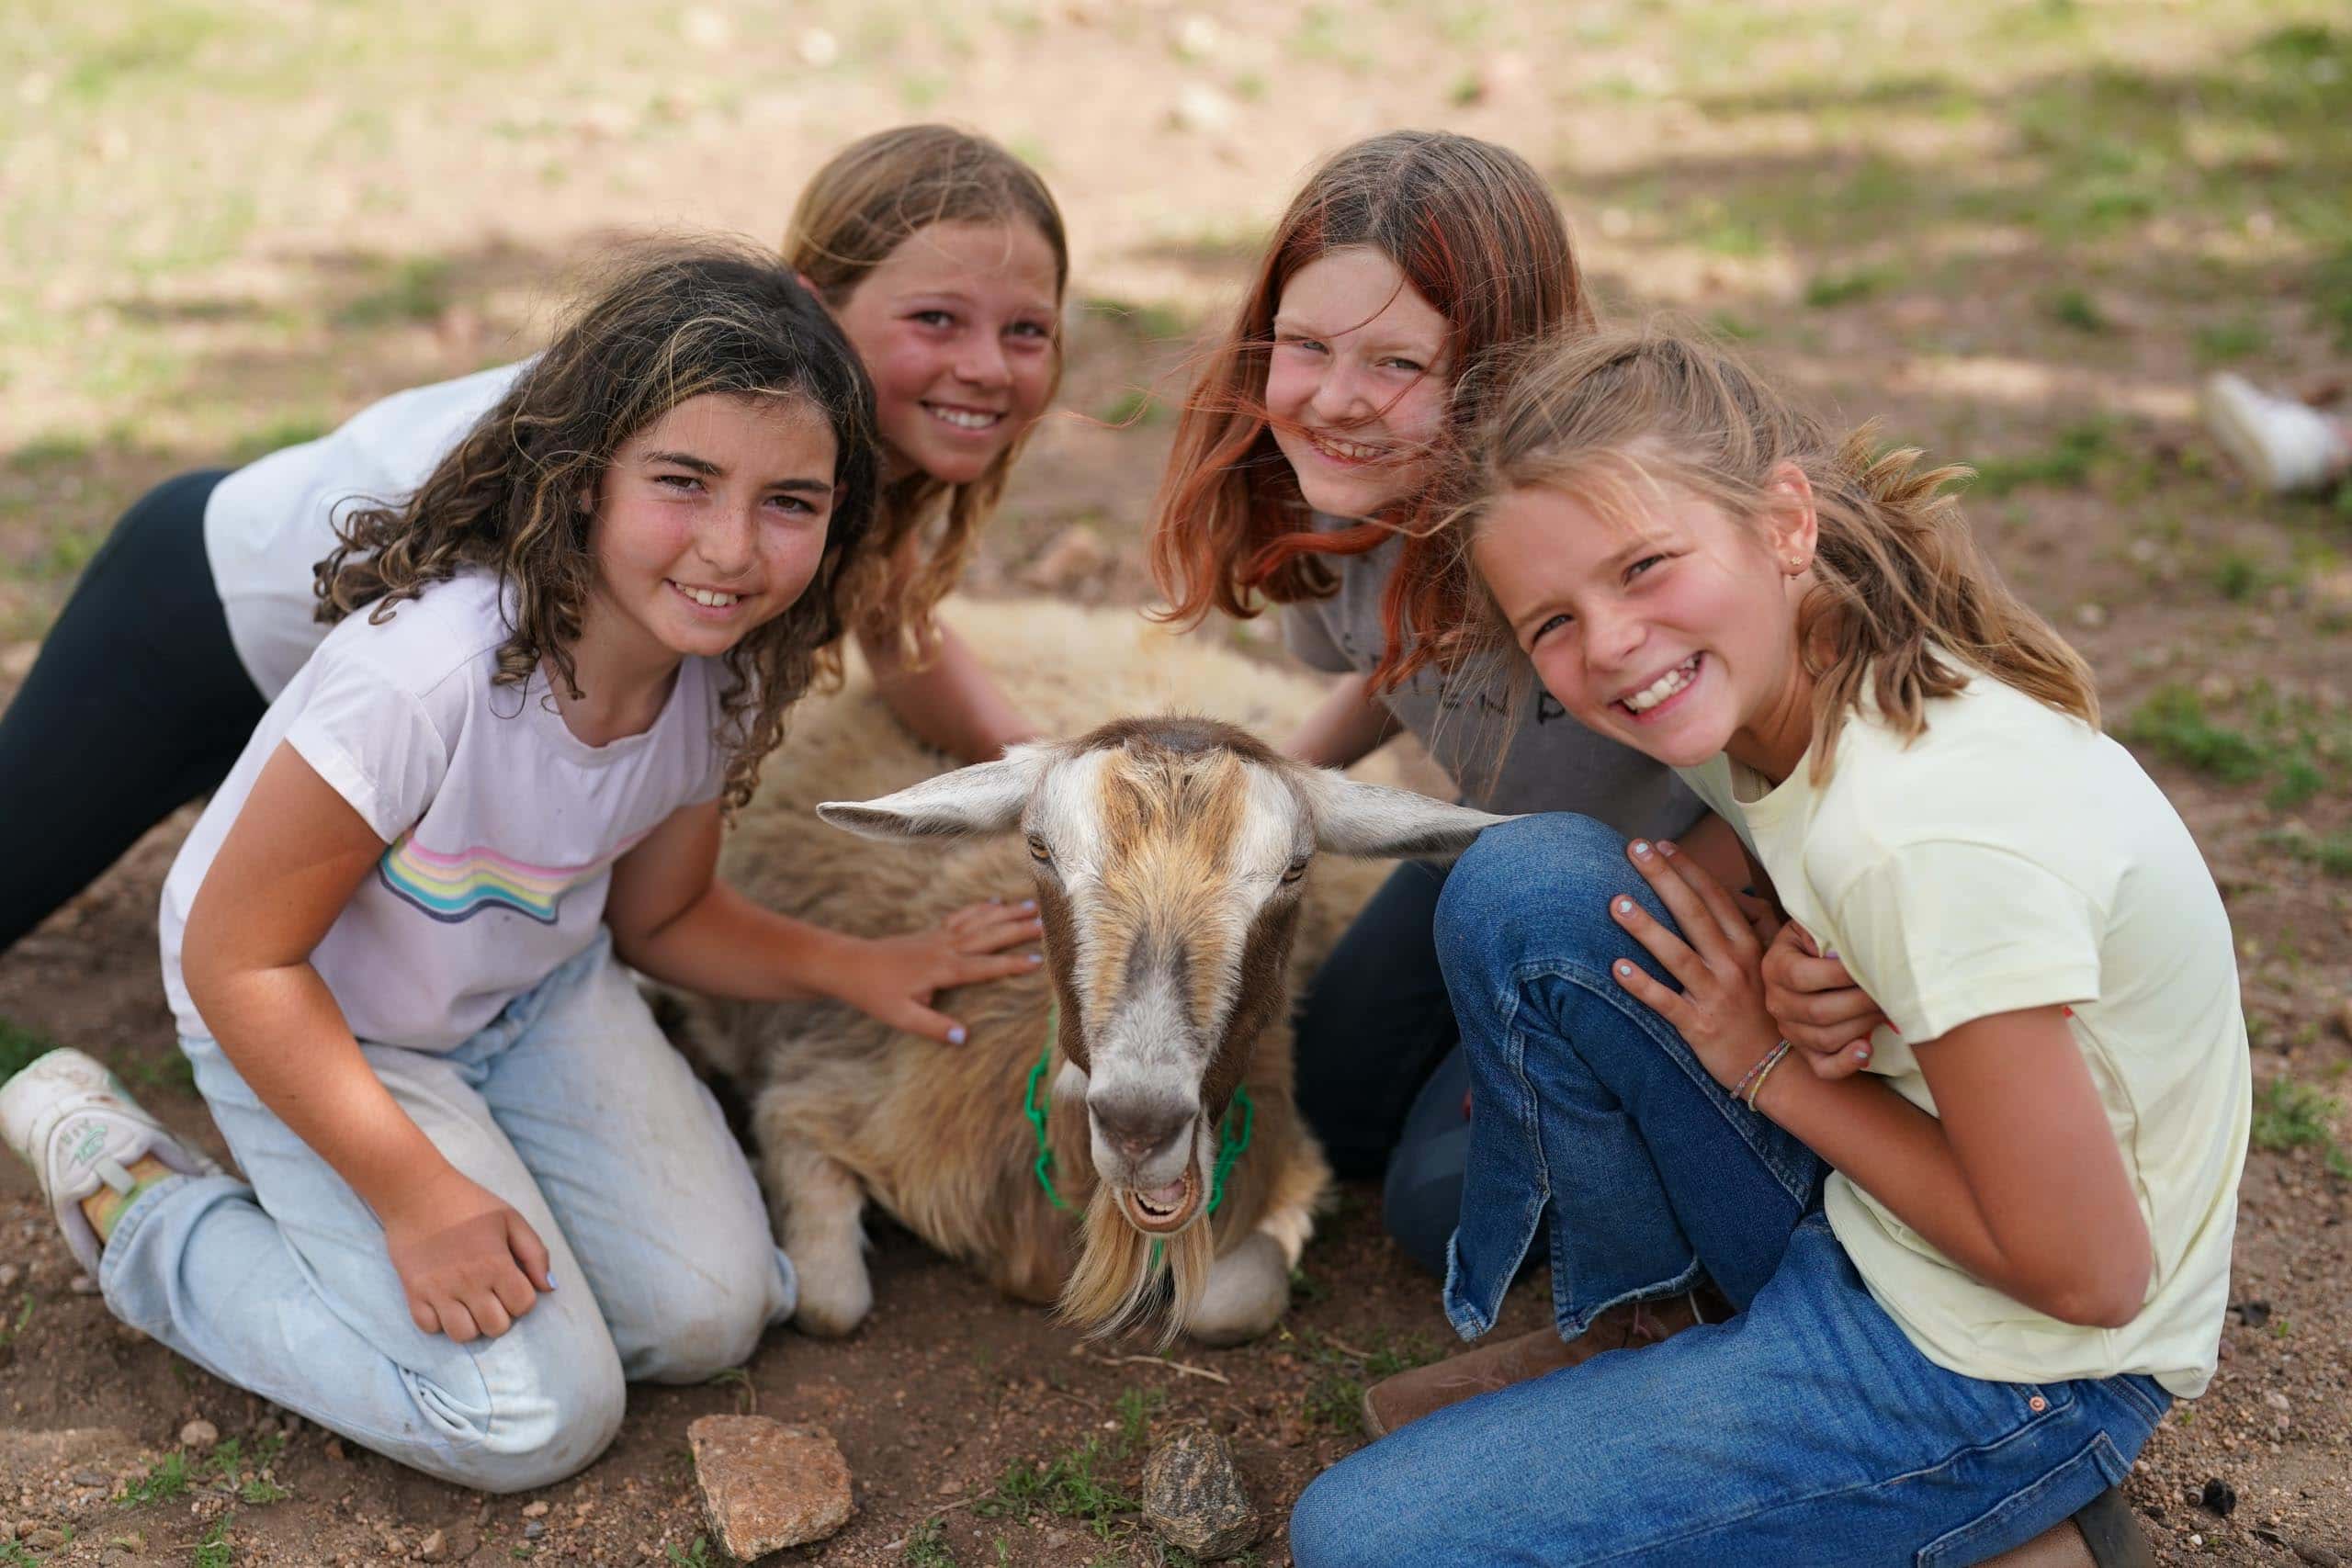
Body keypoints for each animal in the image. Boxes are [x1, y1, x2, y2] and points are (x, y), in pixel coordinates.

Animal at [691, 600, 1503, 1344]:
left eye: (1296, 868)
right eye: (1039, 848)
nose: (1139, 1126)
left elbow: (1233, 1299)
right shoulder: (820, 1089)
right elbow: (832, 1299)